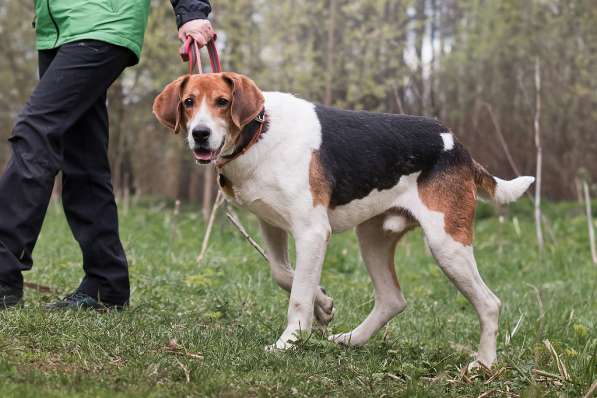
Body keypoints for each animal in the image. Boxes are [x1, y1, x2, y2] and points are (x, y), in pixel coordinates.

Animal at [151, 72, 532, 366]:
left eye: (222, 102)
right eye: (188, 102)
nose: (200, 134)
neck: (259, 133)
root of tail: (457, 145)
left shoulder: (312, 232)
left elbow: (297, 295)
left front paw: (290, 342)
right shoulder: (272, 225)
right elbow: (284, 274)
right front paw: (322, 306)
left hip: (446, 244)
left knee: (490, 303)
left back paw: (483, 364)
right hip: (373, 238)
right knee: (392, 299)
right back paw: (350, 340)